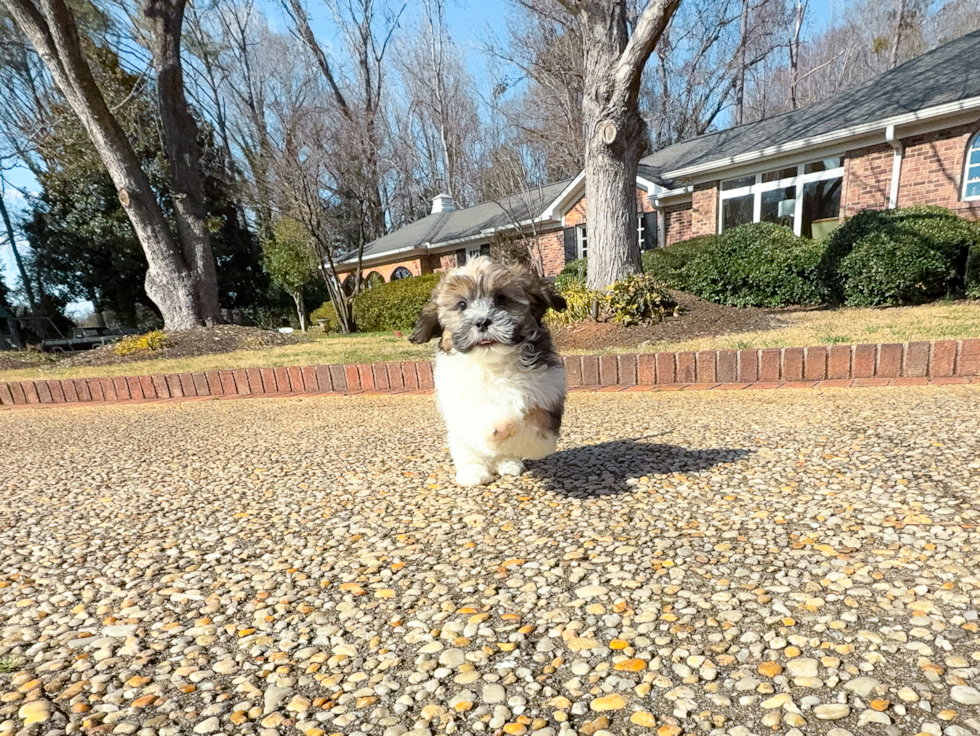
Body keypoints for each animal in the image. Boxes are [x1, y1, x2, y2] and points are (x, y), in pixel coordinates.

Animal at [410, 260, 572, 488]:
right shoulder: (459, 400)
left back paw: (507, 463)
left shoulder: (546, 392)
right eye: (462, 305)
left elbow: (537, 435)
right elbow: (477, 421)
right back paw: (473, 471)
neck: (493, 363)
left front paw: (508, 426)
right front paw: (499, 424)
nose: (482, 322)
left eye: (501, 299)